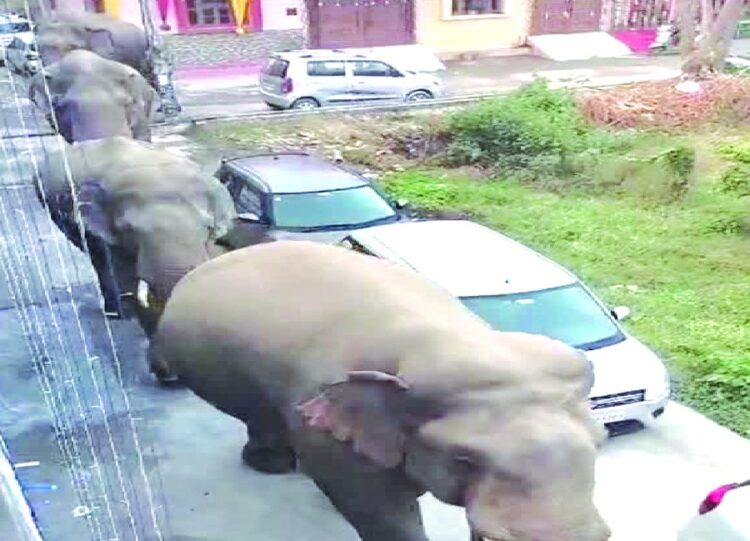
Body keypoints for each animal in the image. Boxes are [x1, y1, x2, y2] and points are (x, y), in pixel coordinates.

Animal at [151, 240, 612, 540]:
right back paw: (274, 464)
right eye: (464, 459)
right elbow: (380, 511)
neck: (449, 340)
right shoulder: (330, 426)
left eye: (600, 440)